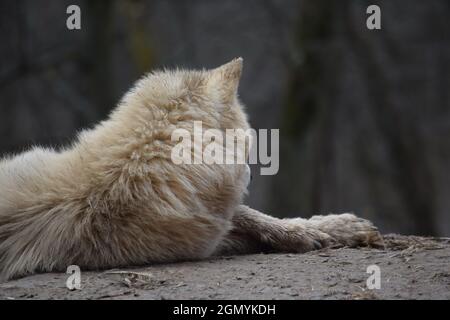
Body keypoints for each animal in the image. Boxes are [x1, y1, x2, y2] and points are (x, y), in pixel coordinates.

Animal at [0, 58, 384, 282]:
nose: (252, 171)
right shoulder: (201, 242)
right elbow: (255, 219)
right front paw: (326, 231)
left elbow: (255, 218)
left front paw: (338, 228)